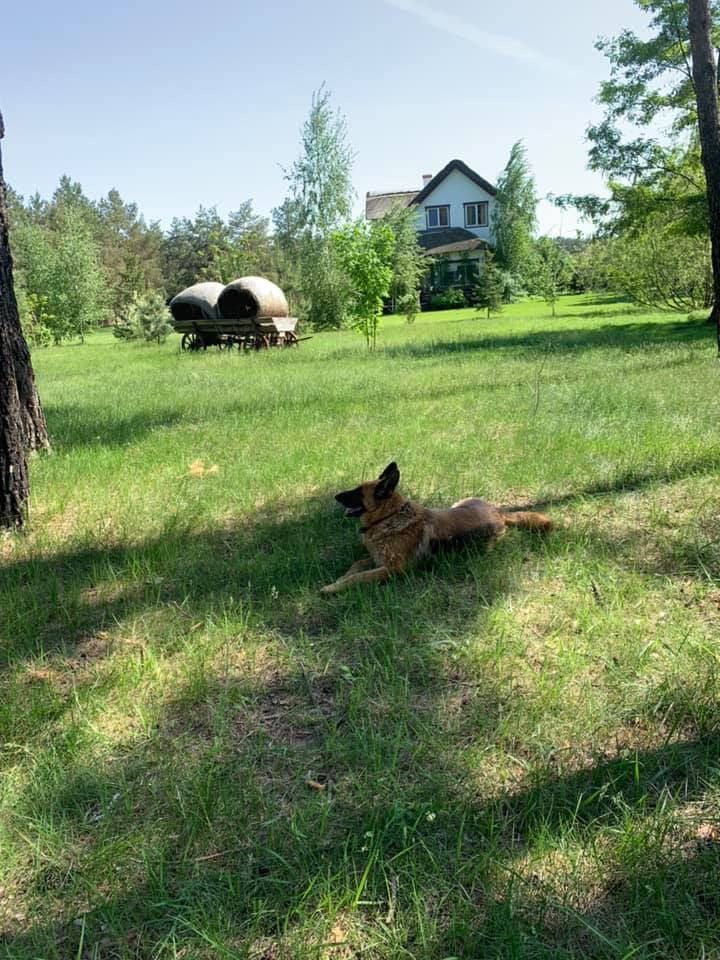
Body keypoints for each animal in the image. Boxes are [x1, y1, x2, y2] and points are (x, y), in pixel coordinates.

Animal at [320, 464, 552, 592]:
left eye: (357, 492)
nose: (336, 496)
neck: (390, 516)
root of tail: (497, 511)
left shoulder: (393, 568)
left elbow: (359, 576)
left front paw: (332, 588)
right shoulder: (377, 559)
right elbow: (356, 565)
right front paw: (339, 579)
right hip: (457, 504)